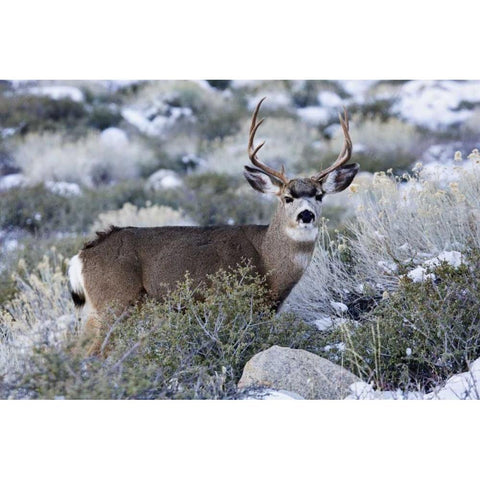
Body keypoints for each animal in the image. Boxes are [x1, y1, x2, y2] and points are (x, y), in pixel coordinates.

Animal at [69, 97, 358, 354]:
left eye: (319, 195)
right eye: (287, 197)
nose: (306, 215)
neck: (267, 260)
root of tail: (80, 257)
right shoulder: (228, 304)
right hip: (113, 304)